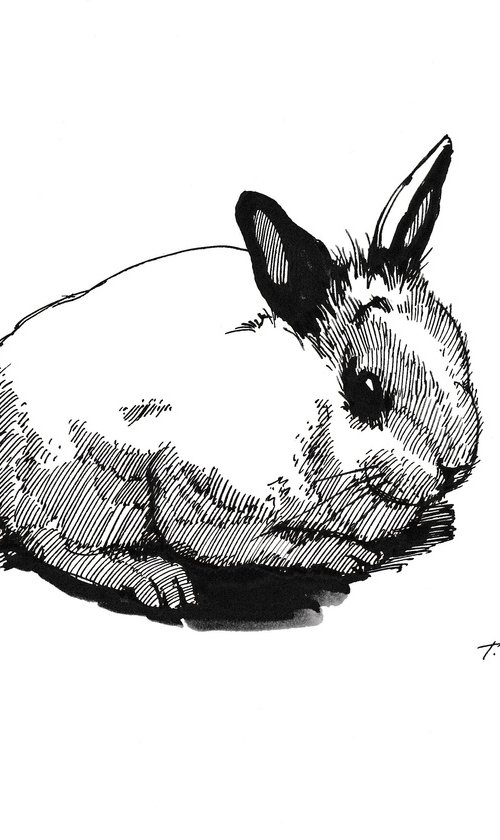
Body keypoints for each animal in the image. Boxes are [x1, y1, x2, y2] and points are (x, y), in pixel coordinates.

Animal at [0, 136, 480, 612]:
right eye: (365, 389)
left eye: (460, 354)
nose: (455, 468)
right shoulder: (195, 490)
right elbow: (264, 546)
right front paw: (345, 555)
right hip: (90, 486)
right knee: (61, 547)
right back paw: (159, 582)